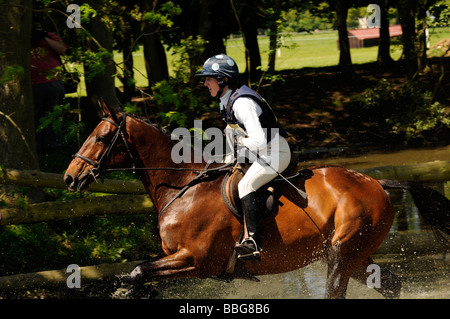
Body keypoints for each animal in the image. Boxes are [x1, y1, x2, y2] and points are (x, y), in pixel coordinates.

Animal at [64, 100, 450, 300]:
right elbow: (137, 273)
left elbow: (138, 270)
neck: (183, 186)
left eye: (101, 138)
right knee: (391, 285)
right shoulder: (180, 259)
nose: (70, 177)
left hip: (343, 253)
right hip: (353, 255)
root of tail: (375, 181)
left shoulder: (195, 260)